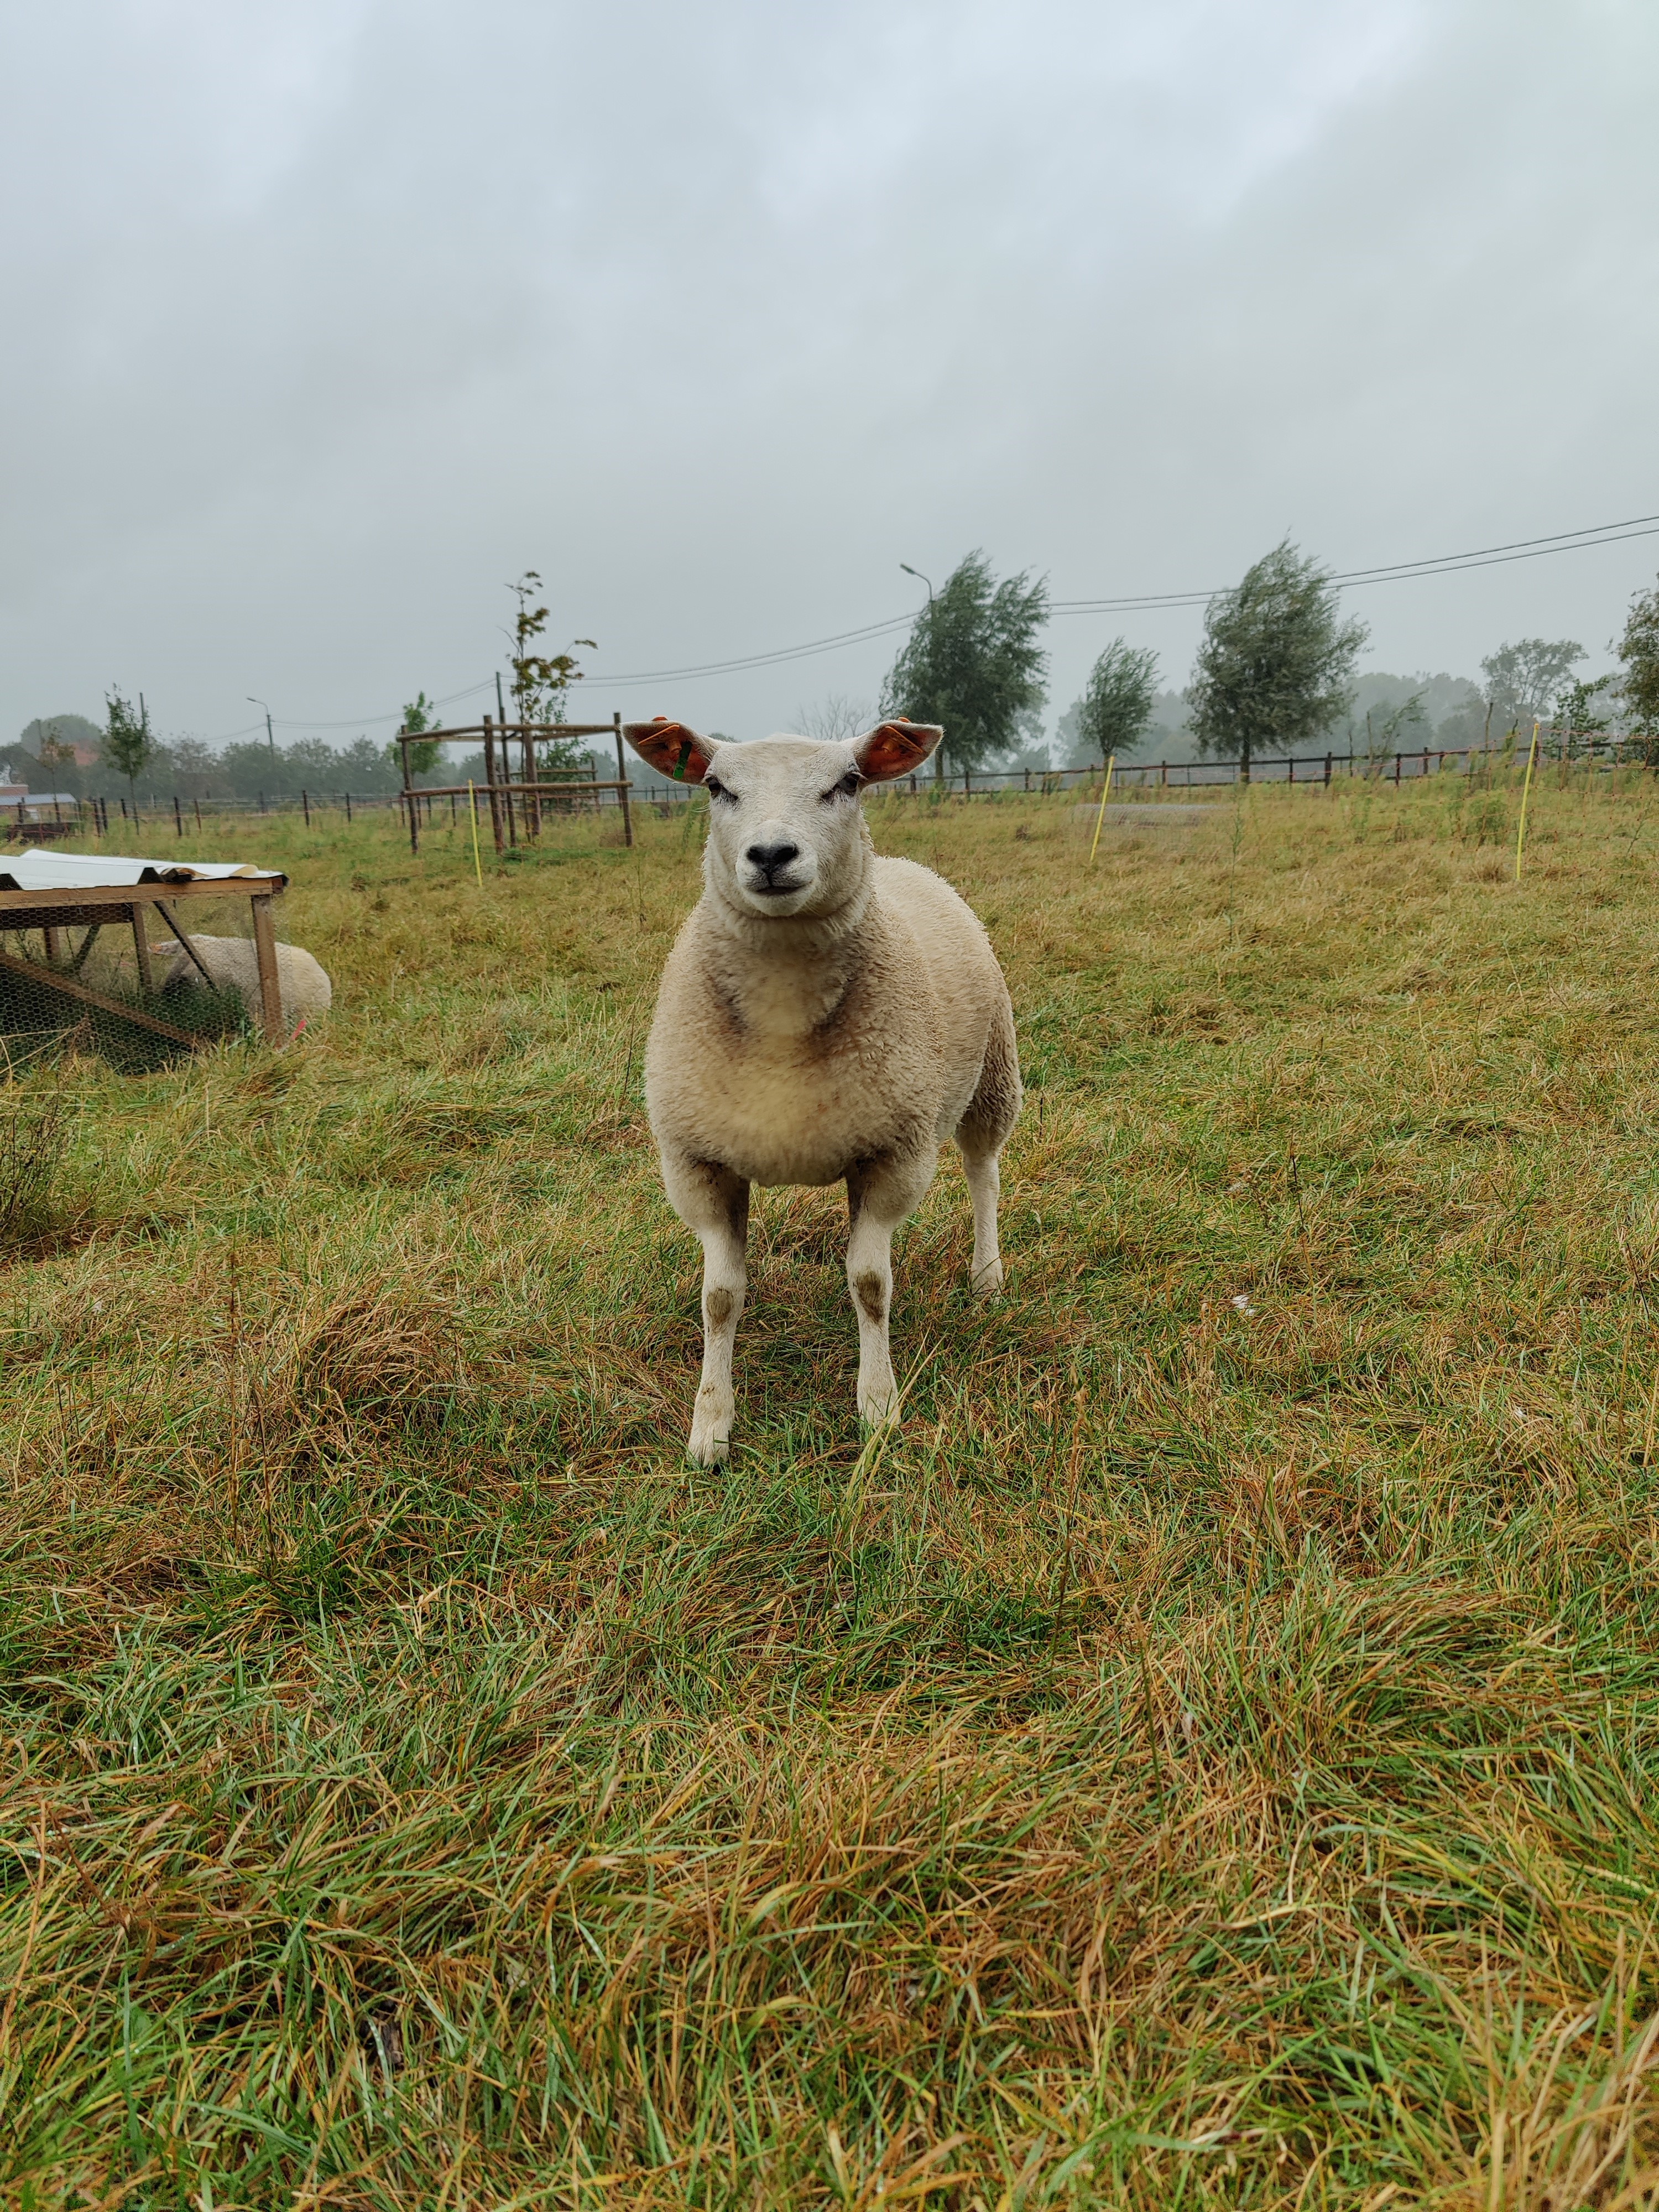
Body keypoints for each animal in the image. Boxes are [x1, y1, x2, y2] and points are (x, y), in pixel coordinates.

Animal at [624, 717, 1022, 1460]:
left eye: (848, 783)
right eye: (716, 786)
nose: (772, 854)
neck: (784, 1014)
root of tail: (904, 864)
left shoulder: (896, 1153)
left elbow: (870, 1284)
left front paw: (879, 1405)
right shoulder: (698, 1162)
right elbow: (719, 1298)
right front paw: (710, 1425)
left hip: (991, 1074)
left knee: (983, 1171)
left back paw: (987, 1276)